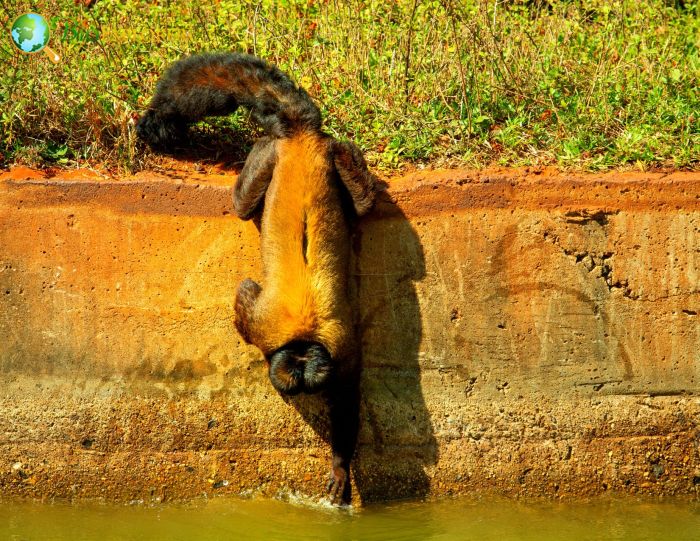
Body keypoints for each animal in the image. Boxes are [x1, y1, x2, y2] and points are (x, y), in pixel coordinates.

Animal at [137, 52, 378, 504]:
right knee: (252, 196)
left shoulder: (339, 347)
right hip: (271, 157)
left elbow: (347, 398)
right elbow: (247, 296)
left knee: (353, 192)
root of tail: (300, 140)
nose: (307, 403)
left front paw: (340, 465)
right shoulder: (273, 331)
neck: (301, 337)